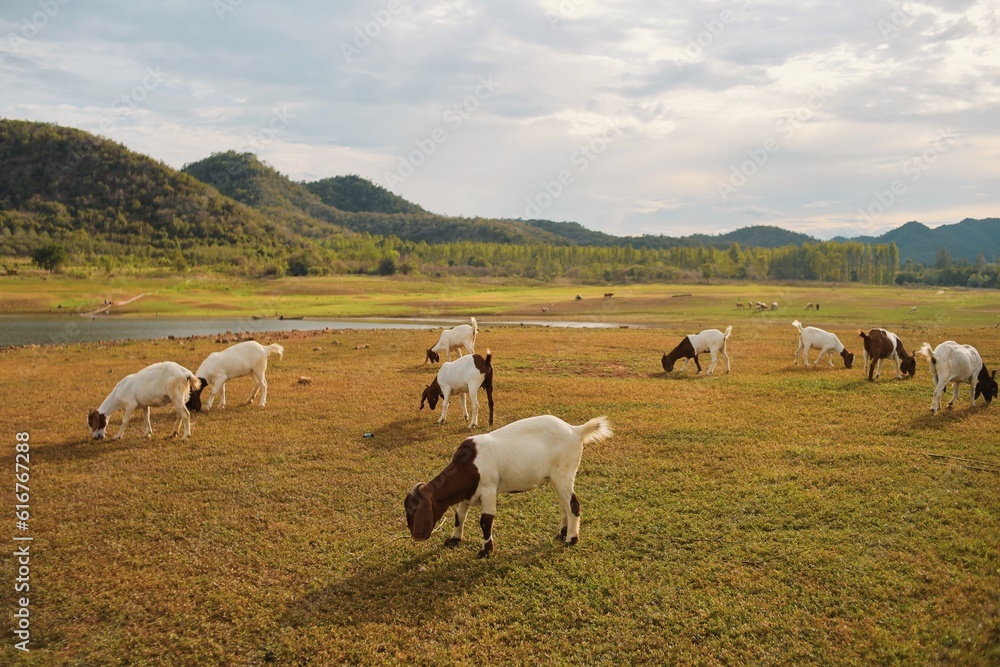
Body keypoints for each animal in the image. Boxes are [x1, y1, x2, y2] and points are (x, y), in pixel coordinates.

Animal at [404, 414, 608, 556]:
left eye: (414, 511)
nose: (415, 535)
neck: (469, 464)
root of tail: (576, 430)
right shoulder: (468, 494)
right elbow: (458, 516)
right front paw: (454, 539)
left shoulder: (488, 490)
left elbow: (485, 521)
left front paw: (486, 551)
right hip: (557, 478)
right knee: (564, 505)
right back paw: (561, 534)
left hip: (564, 474)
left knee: (573, 505)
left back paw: (571, 540)